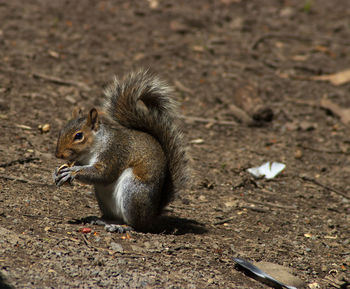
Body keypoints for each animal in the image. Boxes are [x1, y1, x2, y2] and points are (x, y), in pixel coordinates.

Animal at [52, 70, 189, 232]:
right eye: (61, 130)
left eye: (79, 136)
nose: (58, 154)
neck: (94, 148)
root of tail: (152, 215)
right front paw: (58, 171)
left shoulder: (114, 153)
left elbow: (103, 174)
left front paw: (72, 171)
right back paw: (102, 220)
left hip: (133, 192)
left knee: (136, 225)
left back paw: (122, 227)